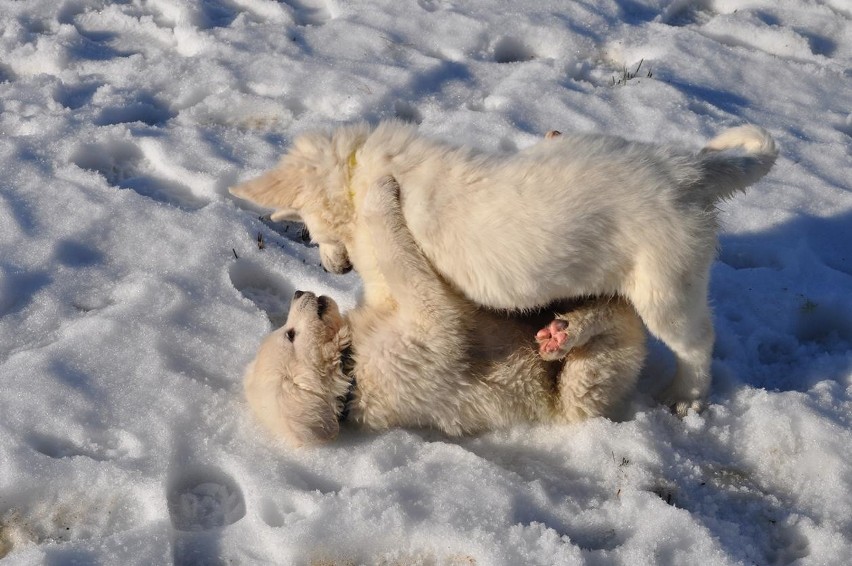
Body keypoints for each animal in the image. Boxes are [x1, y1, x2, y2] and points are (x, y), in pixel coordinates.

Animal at [233, 122, 780, 414]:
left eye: (310, 229)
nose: (337, 270)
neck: (357, 170)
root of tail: (693, 172)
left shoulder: (394, 272)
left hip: (666, 283)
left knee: (696, 343)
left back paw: (686, 397)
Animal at [241, 178, 644, 448]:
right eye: (290, 335)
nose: (299, 292)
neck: (351, 365)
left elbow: (389, 265)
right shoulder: (428, 331)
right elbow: (401, 262)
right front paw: (379, 194)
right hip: (585, 387)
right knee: (621, 320)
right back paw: (563, 334)